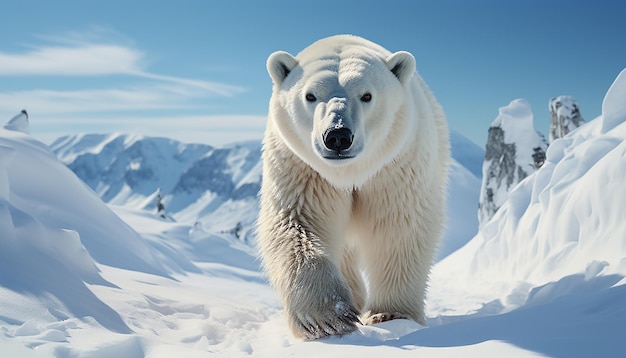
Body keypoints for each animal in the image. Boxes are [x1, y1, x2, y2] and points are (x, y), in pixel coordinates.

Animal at [256, 35, 446, 340]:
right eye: (310, 95)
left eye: (366, 95)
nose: (337, 136)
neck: (349, 173)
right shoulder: (303, 170)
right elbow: (298, 224)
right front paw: (328, 317)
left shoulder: (395, 166)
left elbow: (399, 227)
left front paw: (390, 314)